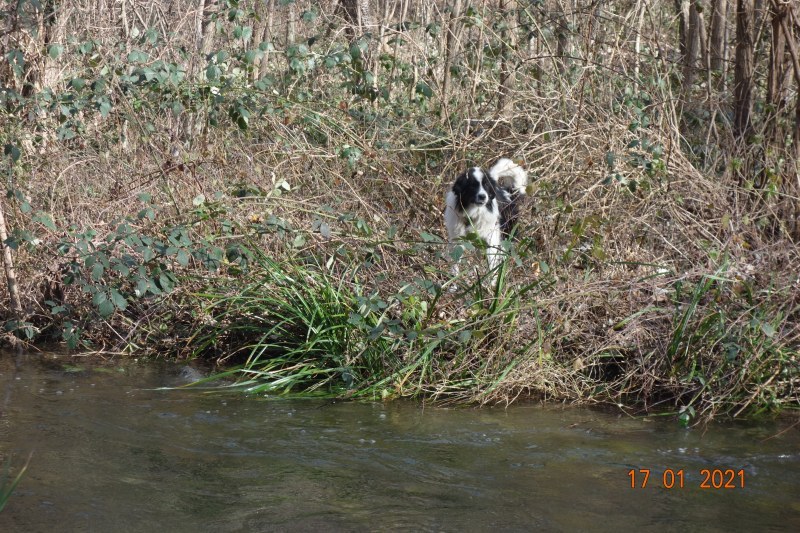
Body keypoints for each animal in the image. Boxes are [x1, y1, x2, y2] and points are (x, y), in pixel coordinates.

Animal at [446, 158, 528, 286]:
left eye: (486, 186)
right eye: (473, 186)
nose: (483, 196)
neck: (473, 213)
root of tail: (509, 193)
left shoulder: (491, 239)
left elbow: (491, 263)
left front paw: (491, 284)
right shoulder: (457, 239)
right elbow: (456, 261)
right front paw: (453, 283)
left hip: (505, 236)